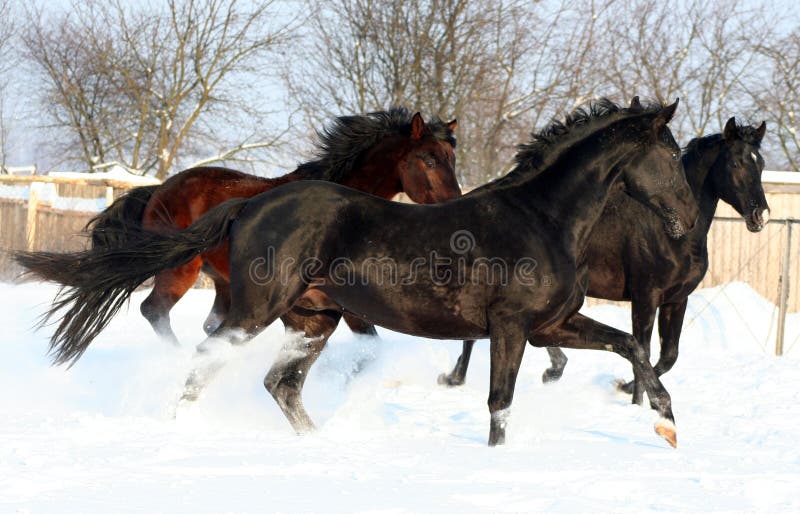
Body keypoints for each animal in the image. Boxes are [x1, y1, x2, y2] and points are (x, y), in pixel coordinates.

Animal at [84, 107, 460, 344]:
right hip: (181, 270)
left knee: (210, 324)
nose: (454, 203)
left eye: (451, 158)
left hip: (222, 280)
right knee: (155, 311)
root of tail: (158, 190)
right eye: (428, 160)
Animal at [438, 117, 768, 404]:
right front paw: (635, 401)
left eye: (761, 164)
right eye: (736, 163)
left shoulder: (677, 299)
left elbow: (668, 356)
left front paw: (626, 389)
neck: (671, 234)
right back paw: (454, 378)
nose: (760, 215)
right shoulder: (646, 296)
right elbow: (644, 350)